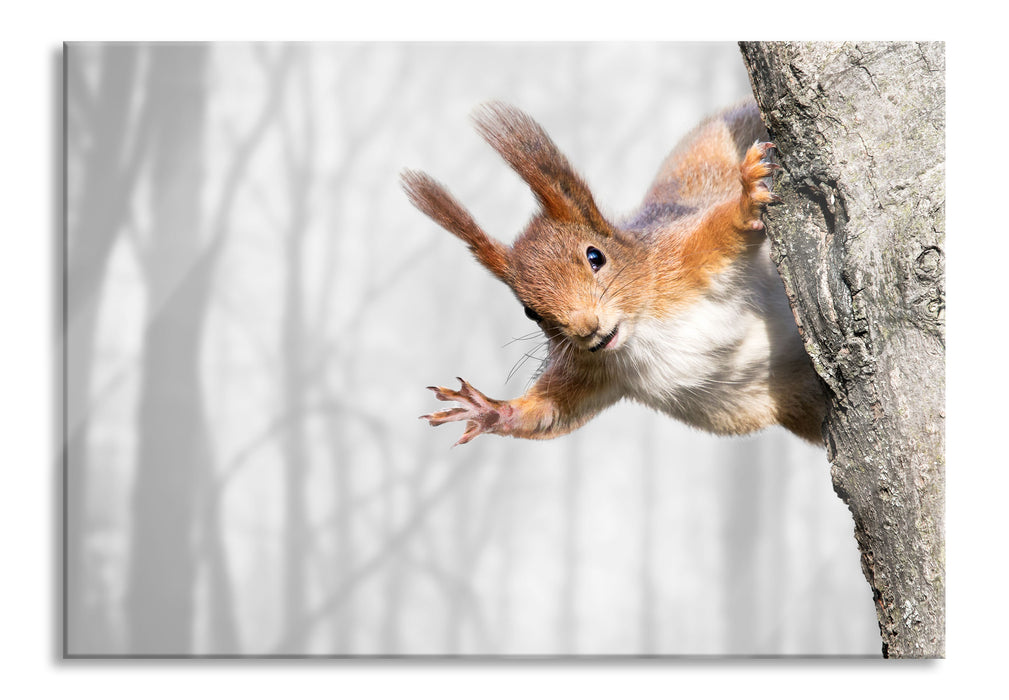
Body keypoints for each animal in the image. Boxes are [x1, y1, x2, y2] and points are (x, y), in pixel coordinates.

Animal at [402, 100, 827, 446]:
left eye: (596, 256)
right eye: (529, 312)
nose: (586, 329)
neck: (641, 329)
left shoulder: (681, 257)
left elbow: (722, 229)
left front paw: (746, 199)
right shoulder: (593, 370)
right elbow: (551, 412)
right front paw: (489, 410)